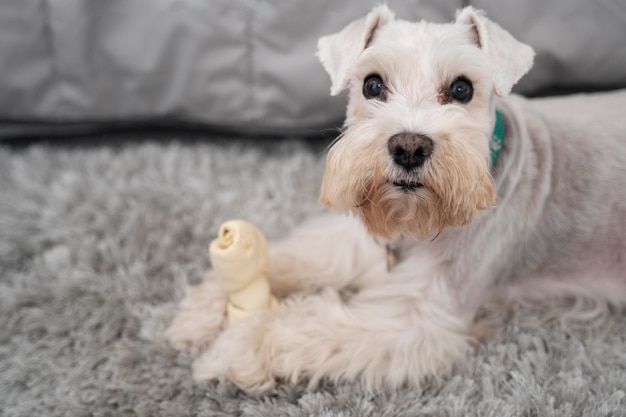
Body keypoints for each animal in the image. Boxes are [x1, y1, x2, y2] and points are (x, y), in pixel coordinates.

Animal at [166, 6, 624, 394]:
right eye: (372, 84)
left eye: (462, 88)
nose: (409, 147)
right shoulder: (356, 245)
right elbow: (295, 257)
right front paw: (201, 310)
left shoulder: (414, 319)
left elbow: (301, 326)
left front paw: (231, 348)